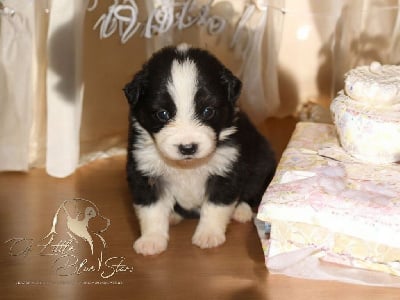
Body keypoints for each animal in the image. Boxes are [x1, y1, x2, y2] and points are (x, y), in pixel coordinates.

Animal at [124, 44, 276, 255]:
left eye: (207, 111)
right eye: (162, 114)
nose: (187, 147)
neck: (188, 166)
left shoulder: (226, 169)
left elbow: (216, 205)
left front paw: (208, 235)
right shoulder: (144, 170)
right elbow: (151, 209)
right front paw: (151, 240)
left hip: (262, 160)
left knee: (252, 191)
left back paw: (241, 211)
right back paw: (173, 215)